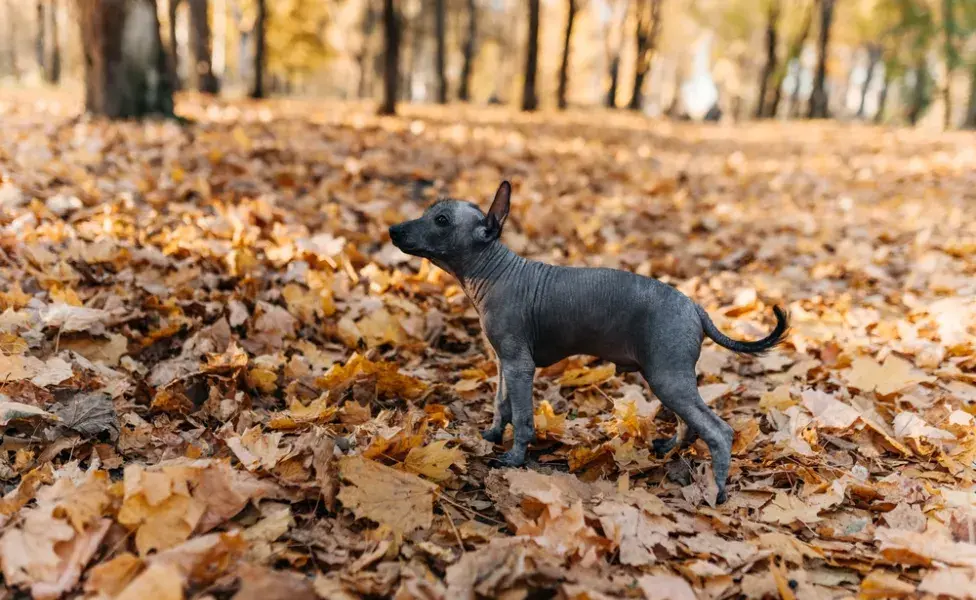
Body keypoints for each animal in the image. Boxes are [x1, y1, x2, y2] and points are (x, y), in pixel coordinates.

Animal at [386, 182, 784, 502]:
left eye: (441, 220)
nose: (393, 229)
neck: (495, 270)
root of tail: (696, 307)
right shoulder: (505, 363)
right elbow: (501, 404)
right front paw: (494, 434)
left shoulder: (519, 365)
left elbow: (523, 417)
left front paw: (514, 458)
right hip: (669, 376)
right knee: (690, 423)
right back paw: (669, 449)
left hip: (666, 376)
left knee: (718, 430)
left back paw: (717, 490)